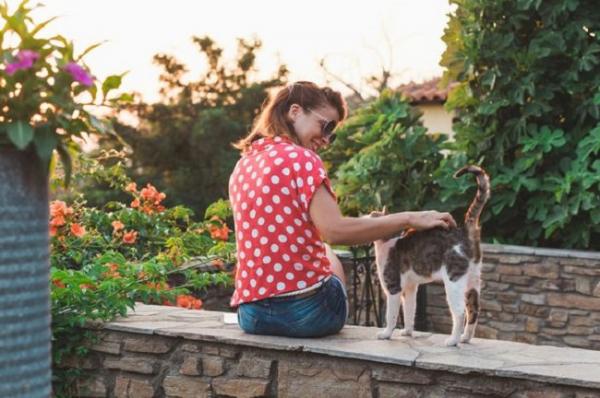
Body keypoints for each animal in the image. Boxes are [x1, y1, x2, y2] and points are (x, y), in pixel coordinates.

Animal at [372, 165, 490, 346]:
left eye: (374, 214)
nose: (368, 214)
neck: (389, 241)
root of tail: (464, 231)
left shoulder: (393, 287)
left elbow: (391, 315)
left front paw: (386, 334)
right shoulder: (410, 287)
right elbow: (409, 310)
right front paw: (407, 332)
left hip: (454, 281)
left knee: (460, 312)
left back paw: (453, 341)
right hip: (473, 279)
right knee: (474, 310)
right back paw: (465, 338)